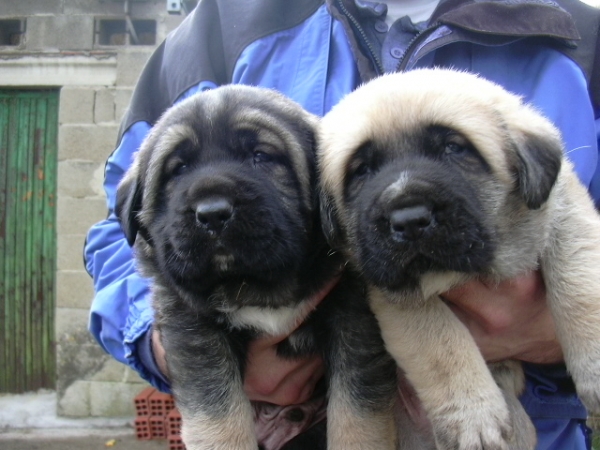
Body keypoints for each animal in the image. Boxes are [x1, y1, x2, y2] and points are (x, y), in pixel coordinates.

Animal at [117, 85, 398, 450]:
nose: (212, 214)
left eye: (261, 156)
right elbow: (218, 415)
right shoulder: (194, 326)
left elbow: (357, 412)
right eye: (178, 169)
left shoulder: (354, 318)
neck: (253, 286)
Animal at [322, 68, 600, 448]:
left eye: (454, 148)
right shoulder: (394, 290)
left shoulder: (566, 211)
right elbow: (441, 341)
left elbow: (580, 282)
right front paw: (473, 415)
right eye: (361, 170)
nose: (409, 220)